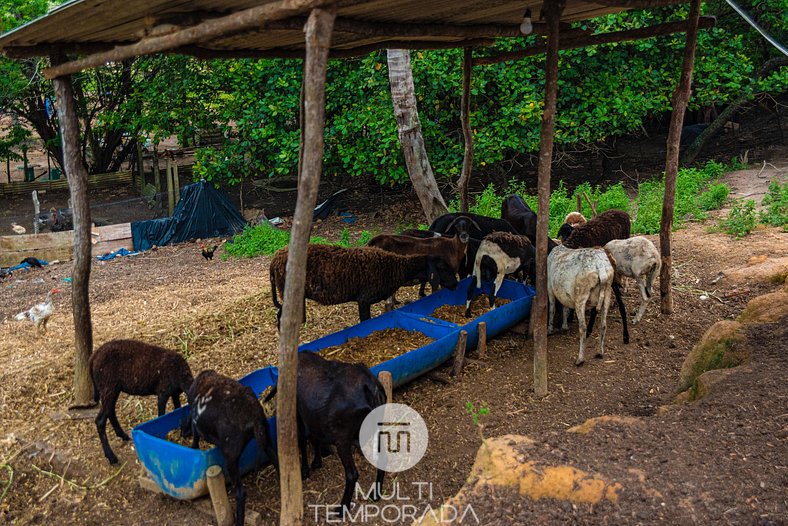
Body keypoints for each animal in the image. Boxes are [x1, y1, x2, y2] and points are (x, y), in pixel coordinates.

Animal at [89, 338, 192, 466]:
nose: (186, 435)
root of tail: (94, 357)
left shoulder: (174, 393)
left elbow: (177, 409)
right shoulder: (163, 392)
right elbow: (161, 415)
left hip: (112, 388)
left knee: (110, 411)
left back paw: (123, 435)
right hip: (108, 385)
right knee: (100, 420)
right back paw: (112, 457)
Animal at [186, 372, 278, 526]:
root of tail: (254, 417)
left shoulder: (195, 426)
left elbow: (195, 440)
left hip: (231, 456)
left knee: (240, 493)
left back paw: (239, 522)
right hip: (266, 439)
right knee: (278, 463)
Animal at [264, 352, 388, 516]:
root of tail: (371, 389)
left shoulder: (299, 415)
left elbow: (303, 440)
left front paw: (305, 470)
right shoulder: (313, 417)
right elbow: (315, 438)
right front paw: (317, 462)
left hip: (342, 438)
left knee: (352, 473)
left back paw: (342, 508)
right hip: (376, 427)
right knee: (382, 459)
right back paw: (375, 494)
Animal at [270, 244, 456, 326]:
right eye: (442, 267)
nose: (455, 284)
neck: (394, 267)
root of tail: (275, 259)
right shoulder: (364, 300)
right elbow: (365, 322)